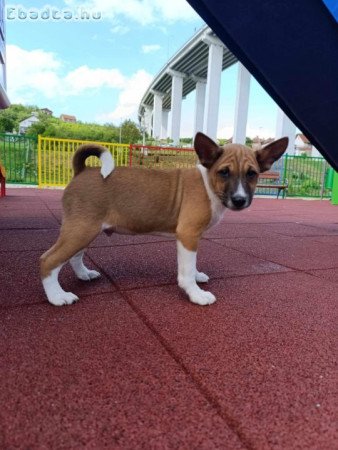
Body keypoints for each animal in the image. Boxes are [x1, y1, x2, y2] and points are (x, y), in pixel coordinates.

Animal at [39, 130, 288, 306]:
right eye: (224, 172)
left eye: (252, 174)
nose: (239, 200)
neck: (209, 184)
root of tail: (82, 171)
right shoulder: (187, 235)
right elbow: (186, 272)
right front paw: (196, 294)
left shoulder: (191, 238)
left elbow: (192, 266)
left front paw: (197, 276)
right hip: (81, 230)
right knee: (48, 260)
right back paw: (57, 297)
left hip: (85, 230)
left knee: (73, 256)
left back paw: (84, 275)